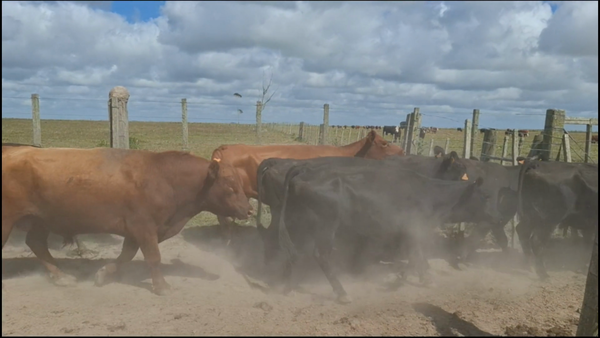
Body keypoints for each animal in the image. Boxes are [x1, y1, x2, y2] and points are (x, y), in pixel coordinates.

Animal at [2, 147, 252, 294]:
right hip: (9, 221)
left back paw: (62, 277)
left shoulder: (135, 231)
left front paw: (103, 274)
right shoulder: (144, 227)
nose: (248, 209)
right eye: (230, 184)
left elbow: (126, 255)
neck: (163, 177)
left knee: (36, 243)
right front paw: (162, 286)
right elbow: (153, 258)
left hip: (40, 220)